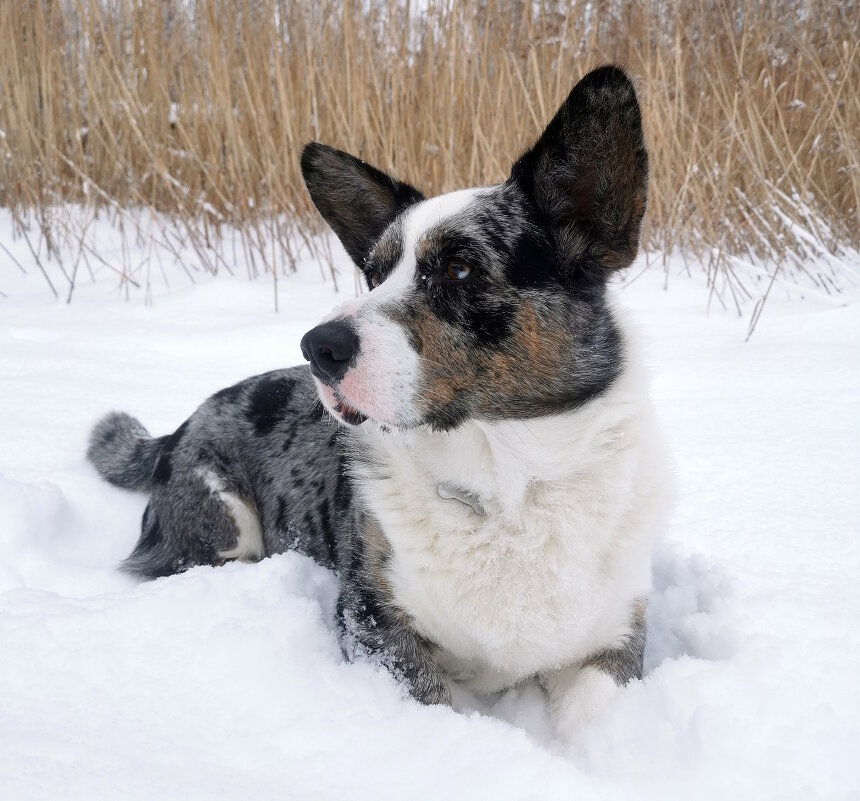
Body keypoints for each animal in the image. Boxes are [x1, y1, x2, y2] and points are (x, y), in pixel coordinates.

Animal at [87, 65, 668, 740]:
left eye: (460, 269)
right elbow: (431, 701)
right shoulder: (372, 622)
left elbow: (596, 721)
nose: (317, 346)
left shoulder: (615, 638)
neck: (502, 487)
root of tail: (176, 431)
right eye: (373, 272)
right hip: (222, 528)